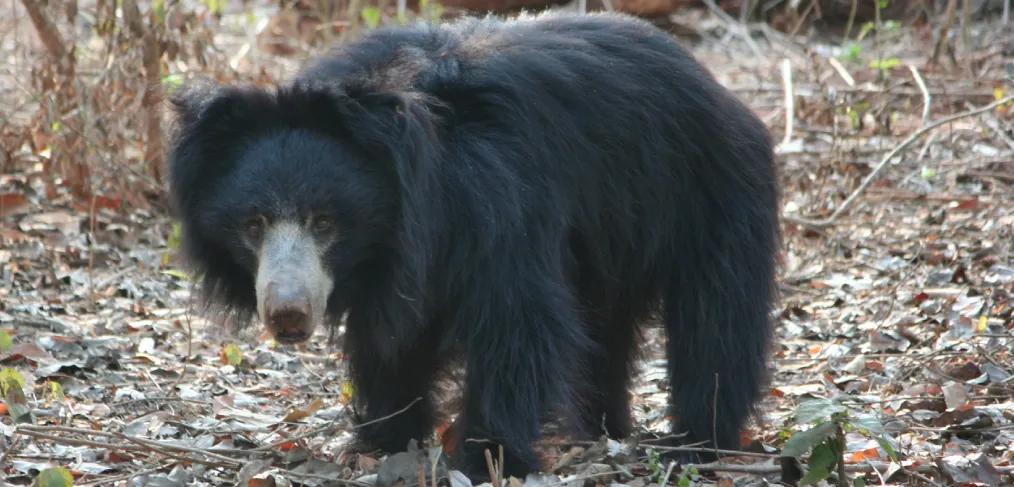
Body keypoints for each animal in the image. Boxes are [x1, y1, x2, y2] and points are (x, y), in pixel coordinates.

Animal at [168, 9, 782, 480]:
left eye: (324, 222)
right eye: (253, 224)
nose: (288, 314)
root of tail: (713, 85)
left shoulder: (498, 198)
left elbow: (516, 319)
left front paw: (489, 456)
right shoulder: (395, 261)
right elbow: (394, 337)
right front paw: (386, 437)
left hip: (707, 192)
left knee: (716, 317)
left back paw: (697, 441)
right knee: (603, 327)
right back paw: (598, 429)